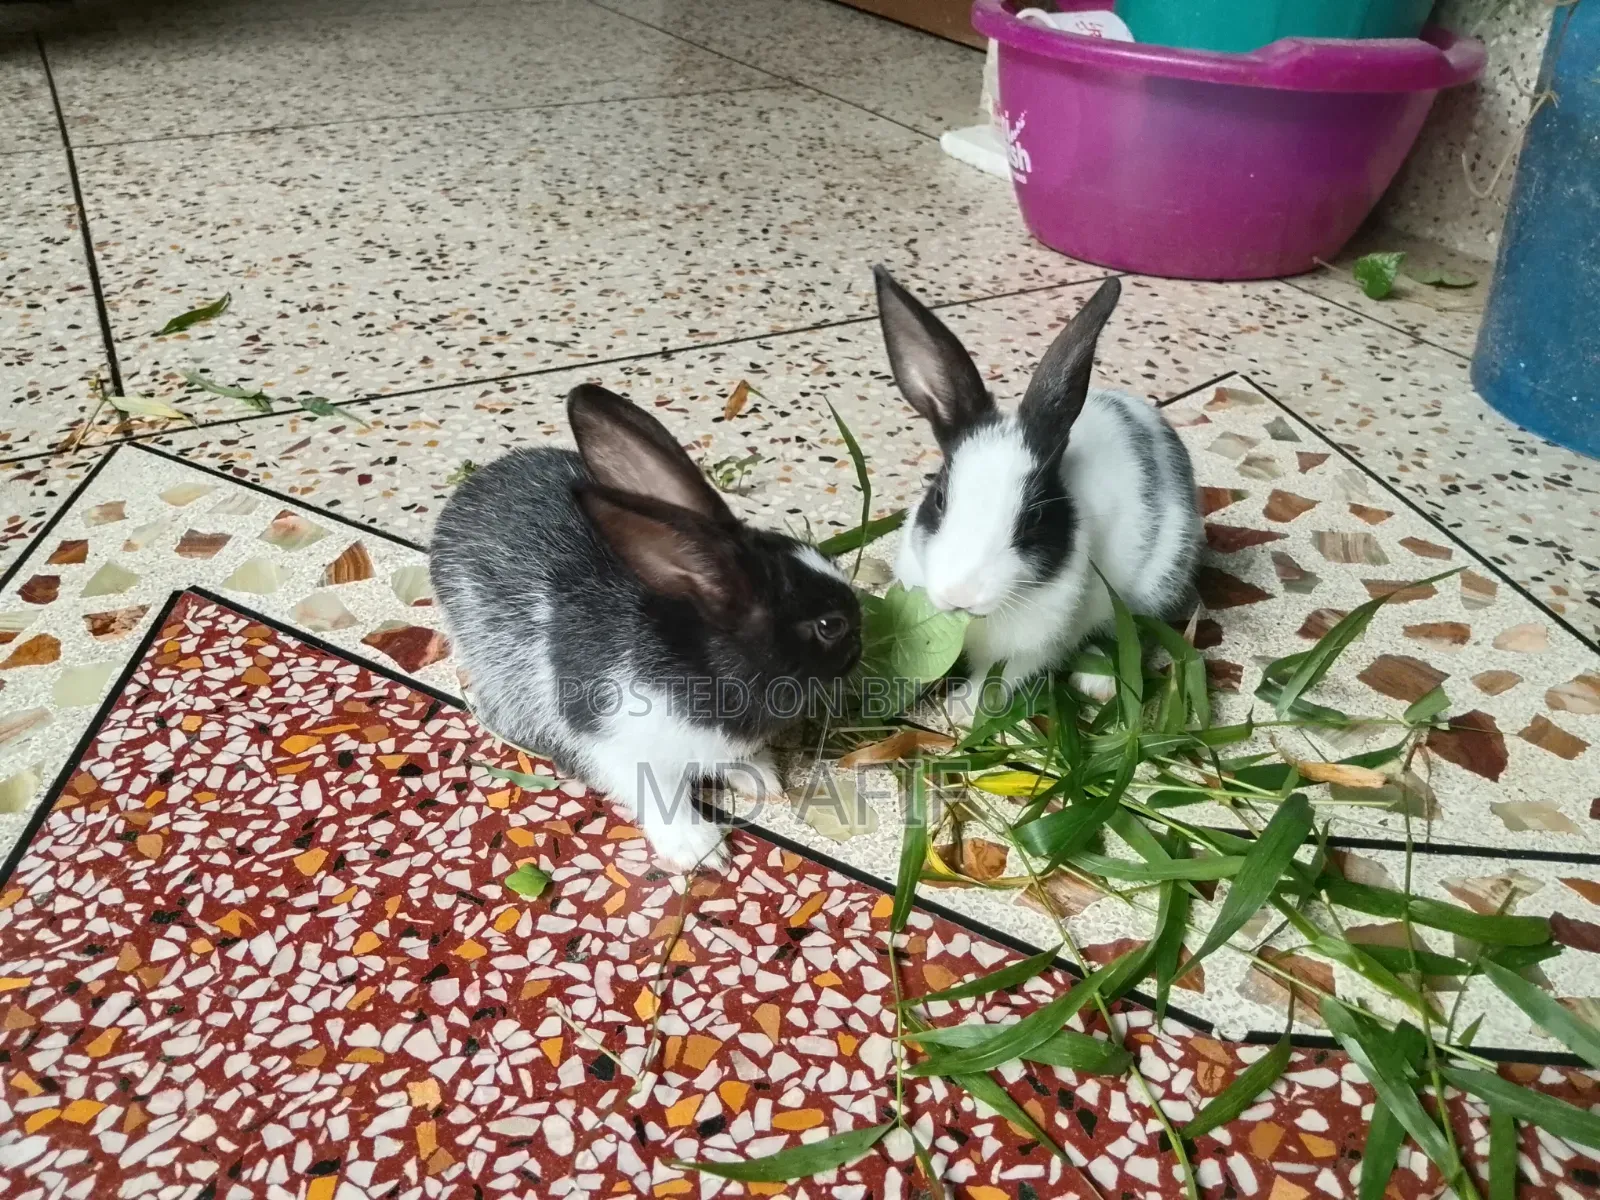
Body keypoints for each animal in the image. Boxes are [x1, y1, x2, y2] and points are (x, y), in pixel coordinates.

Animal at [430, 384, 863, 872]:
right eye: (830, 625)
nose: (862, 639)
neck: (703, 662)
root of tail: (467, 492)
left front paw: (761, 780)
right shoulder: (617, 744)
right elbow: (660, 797)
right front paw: (701, 850)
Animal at [873, 267, 1202, 712]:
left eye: (1035, 517)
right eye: (938, 498)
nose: (961, 595)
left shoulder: (1032, 648)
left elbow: (996, 681)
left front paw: (960, 709)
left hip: (1155, 582)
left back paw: (1096, 682)